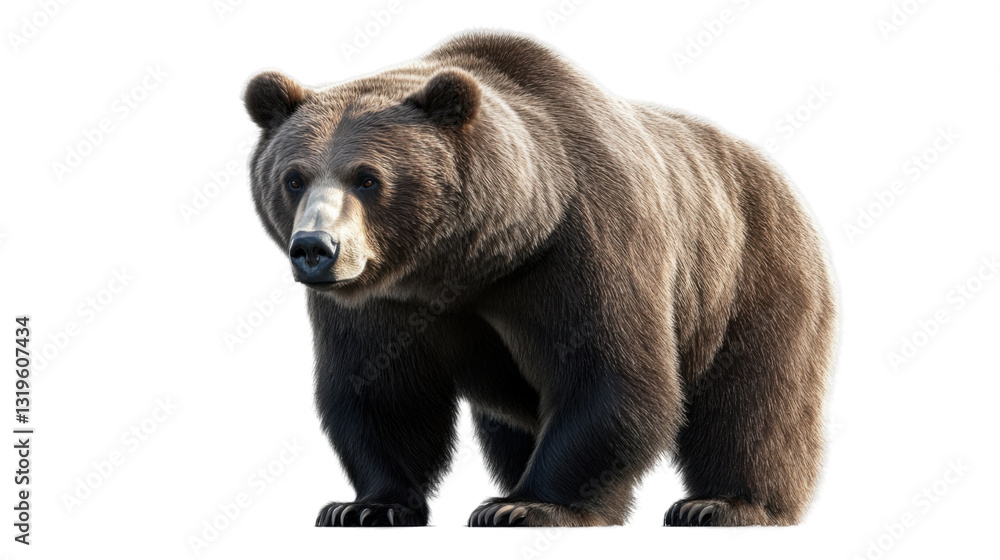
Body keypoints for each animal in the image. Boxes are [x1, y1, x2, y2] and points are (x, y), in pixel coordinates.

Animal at [243, 31, 835, 527]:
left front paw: (524, 507)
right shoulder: (383, 300)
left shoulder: (582, 249)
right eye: (294, 178)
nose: (315, 250)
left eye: (367, 178)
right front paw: (365, 505)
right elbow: (381, 390)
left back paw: (724, 503)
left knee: (754, 400)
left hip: (749, 272)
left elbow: (610, 376)